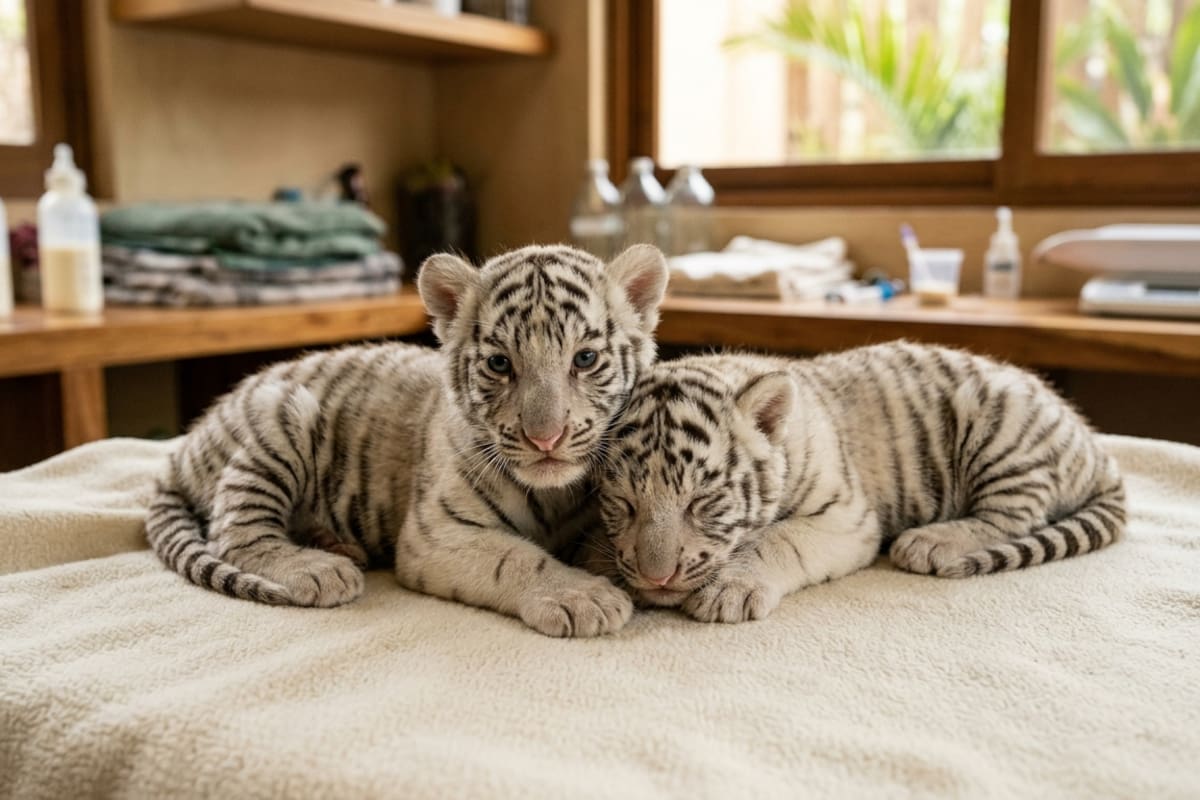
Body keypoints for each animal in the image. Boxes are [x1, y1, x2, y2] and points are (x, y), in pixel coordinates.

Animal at [145, 243, 668, 637]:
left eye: (585, 359)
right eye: (500, 364)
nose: (545, 438)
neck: (555, 495)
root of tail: (184, 449)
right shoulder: (434, 534)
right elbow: (515, 558)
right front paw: (583, 595)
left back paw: (335, 545)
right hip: (284, 416)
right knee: (233, 532)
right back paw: (319, 569)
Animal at [584, 343, 1126, 623]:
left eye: (703, 502)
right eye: (624, 505)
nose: (657, 578)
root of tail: (1093, 447)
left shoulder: (846, 519)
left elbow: (777, 539)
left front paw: (730, 590)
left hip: (1001, 427)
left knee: (1014, 515)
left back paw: (930, 542)